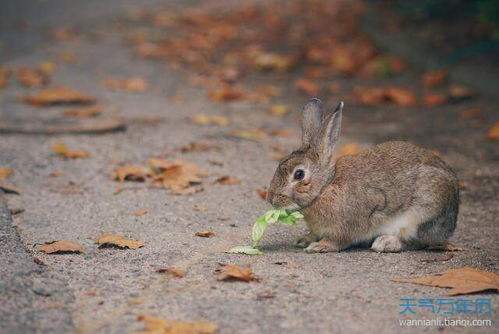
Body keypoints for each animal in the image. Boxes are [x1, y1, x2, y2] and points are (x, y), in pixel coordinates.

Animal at [268, 98, 458, 253]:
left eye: (299, 174)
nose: (271, 199)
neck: (325, 187)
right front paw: (304, 240)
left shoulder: (349, 224)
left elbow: (339, 240)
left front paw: (319, 246)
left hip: (423, 214)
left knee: (418, 241)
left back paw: (386, 243)